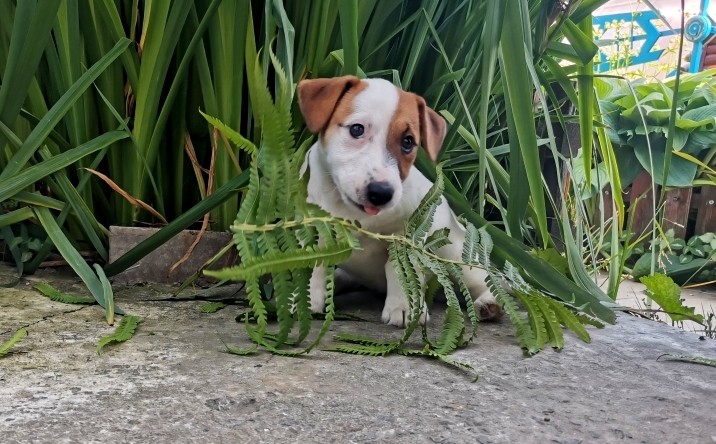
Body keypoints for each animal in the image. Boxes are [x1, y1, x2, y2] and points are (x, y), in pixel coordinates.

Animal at [294, 76, 500, 326]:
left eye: (408, 141)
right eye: (357, 129)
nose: (381, 192)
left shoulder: (406, 237)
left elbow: (399, 269)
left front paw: (404, 307)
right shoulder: (313, 228)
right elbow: (314, 264)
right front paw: (305, 300)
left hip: (456, 254)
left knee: (485, 281)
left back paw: (488, 303)